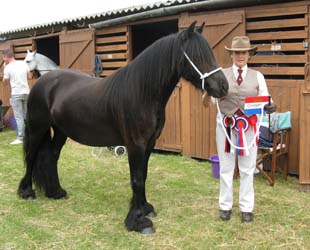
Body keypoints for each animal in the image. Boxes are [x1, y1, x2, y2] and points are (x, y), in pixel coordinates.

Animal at [18, 22, 229, 234]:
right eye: (196, 55)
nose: (223, 86)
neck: (142, 93)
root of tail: (42, 82)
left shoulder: (149, 143)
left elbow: (143, 175)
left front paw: (145, 208)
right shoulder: (135, 145)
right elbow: (136, 179)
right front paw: (138, 221)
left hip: (61, 131)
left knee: (52, 156)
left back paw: (55, 192)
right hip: (38, 128)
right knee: (31, 155)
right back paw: (26, 192)